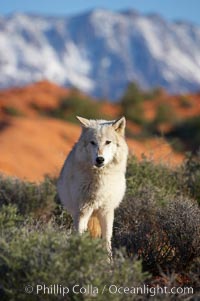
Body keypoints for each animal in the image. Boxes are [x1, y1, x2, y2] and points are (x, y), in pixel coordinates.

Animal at [56, 116, 128, 254]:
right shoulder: (82, 210)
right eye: (93, 142)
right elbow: (79, 235)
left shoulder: (106, 211)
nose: (100, 159)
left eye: (108, 142)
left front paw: (108, 258)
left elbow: (106, 239)